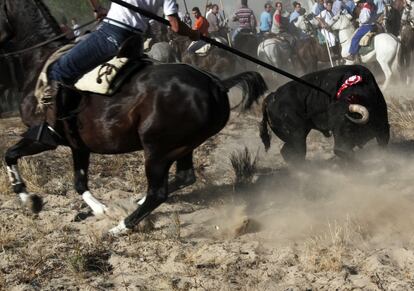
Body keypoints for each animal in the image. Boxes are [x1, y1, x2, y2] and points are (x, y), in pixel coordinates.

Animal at [0, 0, 266, 236]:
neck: (39, 59)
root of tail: (217, 84)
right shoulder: (78, 145)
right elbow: (78, 181)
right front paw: (94, 208)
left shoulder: (45, 138)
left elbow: (11, 155)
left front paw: (30, 199)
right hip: (183, 145)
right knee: (183, 177)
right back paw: (136, 203)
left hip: (157, 149)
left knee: (159, 192)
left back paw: (121, 227)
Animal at [260, 64, 390, 163]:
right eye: (332, 127)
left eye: (348, 126)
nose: (339, 151)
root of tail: (271, 97)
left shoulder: (383, 129)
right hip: (296, 136)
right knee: (293, 153)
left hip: (294, 138)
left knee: (288, 153)